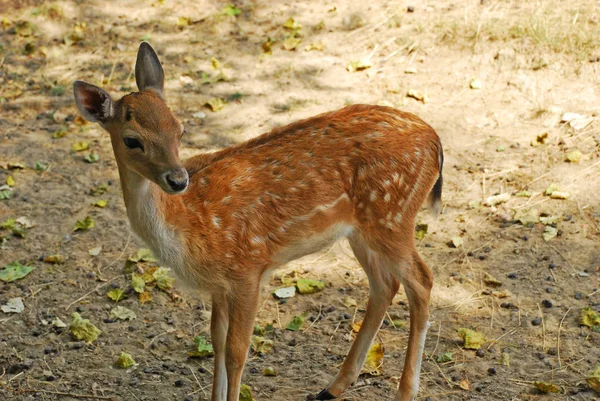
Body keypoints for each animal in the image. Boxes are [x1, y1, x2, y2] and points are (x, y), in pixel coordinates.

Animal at [72, 42, 442, 398]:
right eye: (131, 139)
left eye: (180, 129)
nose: (177, 180)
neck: (192, 228)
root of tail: (435, 141)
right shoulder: (220, 286)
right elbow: (217, 343)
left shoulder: (247, 269)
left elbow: (237, 351)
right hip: (361, 229)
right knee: (384, 285)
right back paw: (332, 387)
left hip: (393, 215)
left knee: (422, 280)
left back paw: (404, 391)